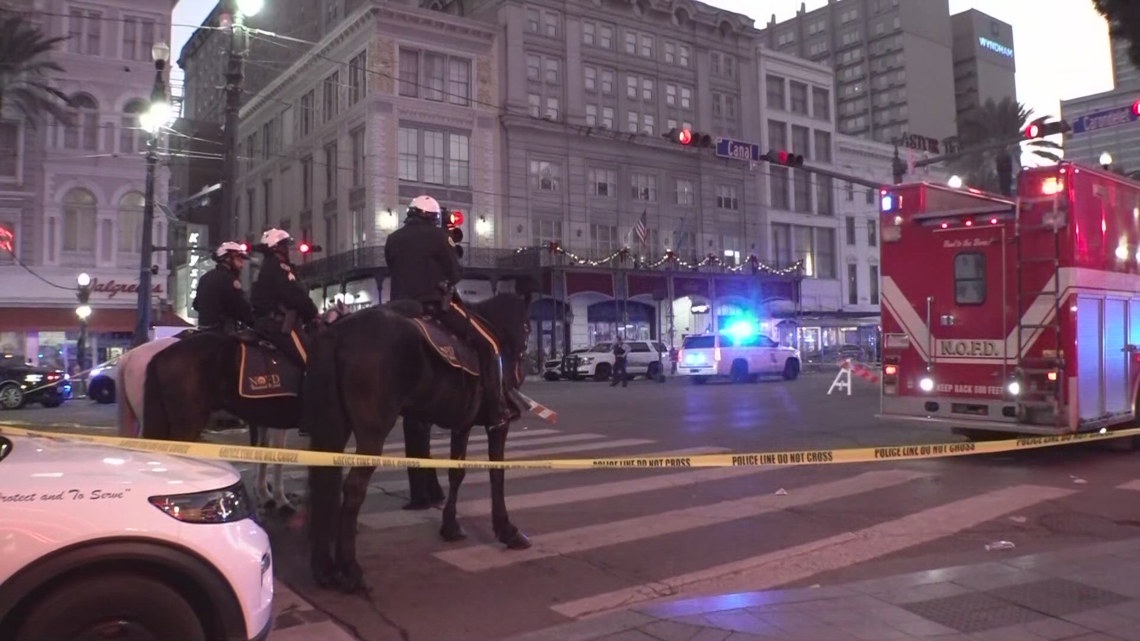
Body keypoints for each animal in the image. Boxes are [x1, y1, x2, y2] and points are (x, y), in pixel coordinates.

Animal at [303, 291, 533, 593]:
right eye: (527, 329)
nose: (523, 366)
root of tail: (337, 333)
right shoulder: (498, 425)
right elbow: (497, 474)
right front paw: (507, 530)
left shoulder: (462, 425)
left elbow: (457, 474)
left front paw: (450, 526)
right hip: (372, 434)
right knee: (353, 489)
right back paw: (351, 570)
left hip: (332, 429)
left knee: (323, 482)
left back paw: (324, 569)